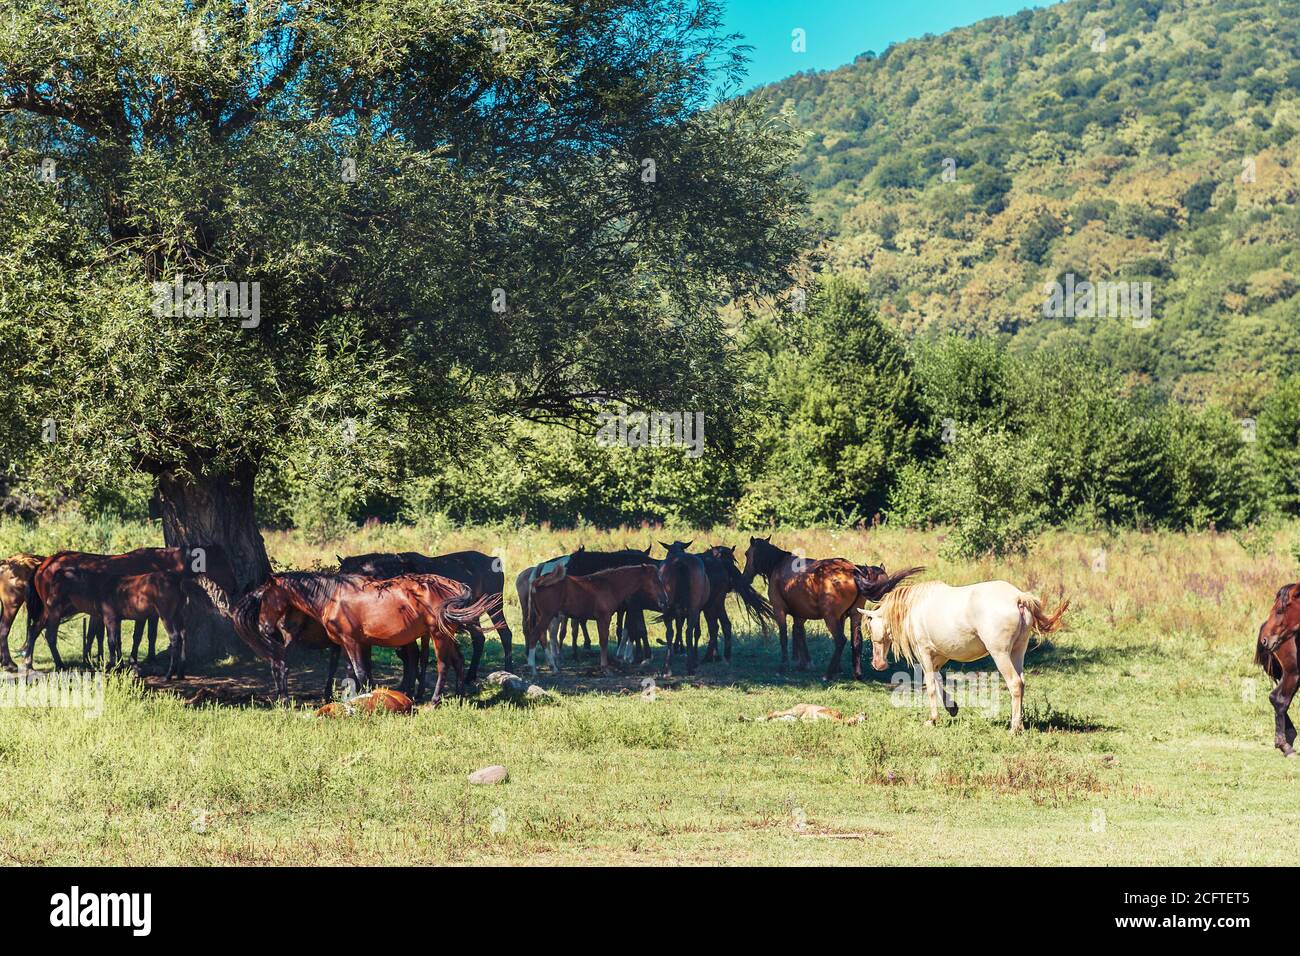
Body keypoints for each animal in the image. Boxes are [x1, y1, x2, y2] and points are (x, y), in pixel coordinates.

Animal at [255, 572, 499, 703]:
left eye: (265, 597)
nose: (263, 627)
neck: (334, 597)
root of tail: (455, 585)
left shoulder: (352, 642)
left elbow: (361, 672)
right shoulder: (354, 643)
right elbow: (356, 672)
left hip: (438, 635)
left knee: (443, 665)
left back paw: (435, 700)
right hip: (447, 635)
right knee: (458, 661)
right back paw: (460, 696)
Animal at [338, 550, 513, 680]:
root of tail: (494, 560)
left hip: (494, 605)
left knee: (505, 634)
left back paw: (508, 670)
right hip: (470, 614)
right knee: (479, 639)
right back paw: (470, 676)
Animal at [526, 565, 669, 675]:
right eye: (656, 581)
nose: (664, 600)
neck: (609, 586)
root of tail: (537, 582)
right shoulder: (603, 619)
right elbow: (603, 642)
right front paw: (605, 668)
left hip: (543, 616)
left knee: (542, 637)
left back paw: (553, 667)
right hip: (547, 616)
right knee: (534, 636)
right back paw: (533, 669)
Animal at [742, 536, 920, 679]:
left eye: (746, 554)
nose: (745, 577)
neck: (778, 565)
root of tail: (853, 570)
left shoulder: (779, 610)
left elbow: (784, 637)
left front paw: (784, 666)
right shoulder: (802, 615)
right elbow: (799, 633)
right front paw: (805, 663)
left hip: (830, 618)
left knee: (840, 640)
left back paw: (827, 674)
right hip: (855, 615)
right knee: (856, 641)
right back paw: (857, 673)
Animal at [859, 580, 1069, 732]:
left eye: (870, 626)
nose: (878, 664)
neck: (914, 607)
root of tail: (1018, 597)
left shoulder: (924, 653)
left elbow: (930, 685)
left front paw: (933, 720)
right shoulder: (939, 656)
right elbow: (937, 681)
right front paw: (952, 707)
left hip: (1000, 654)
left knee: (1015, 684)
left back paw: (1014, 728)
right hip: (1017, 652)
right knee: (1022, 683)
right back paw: (1021, 724)